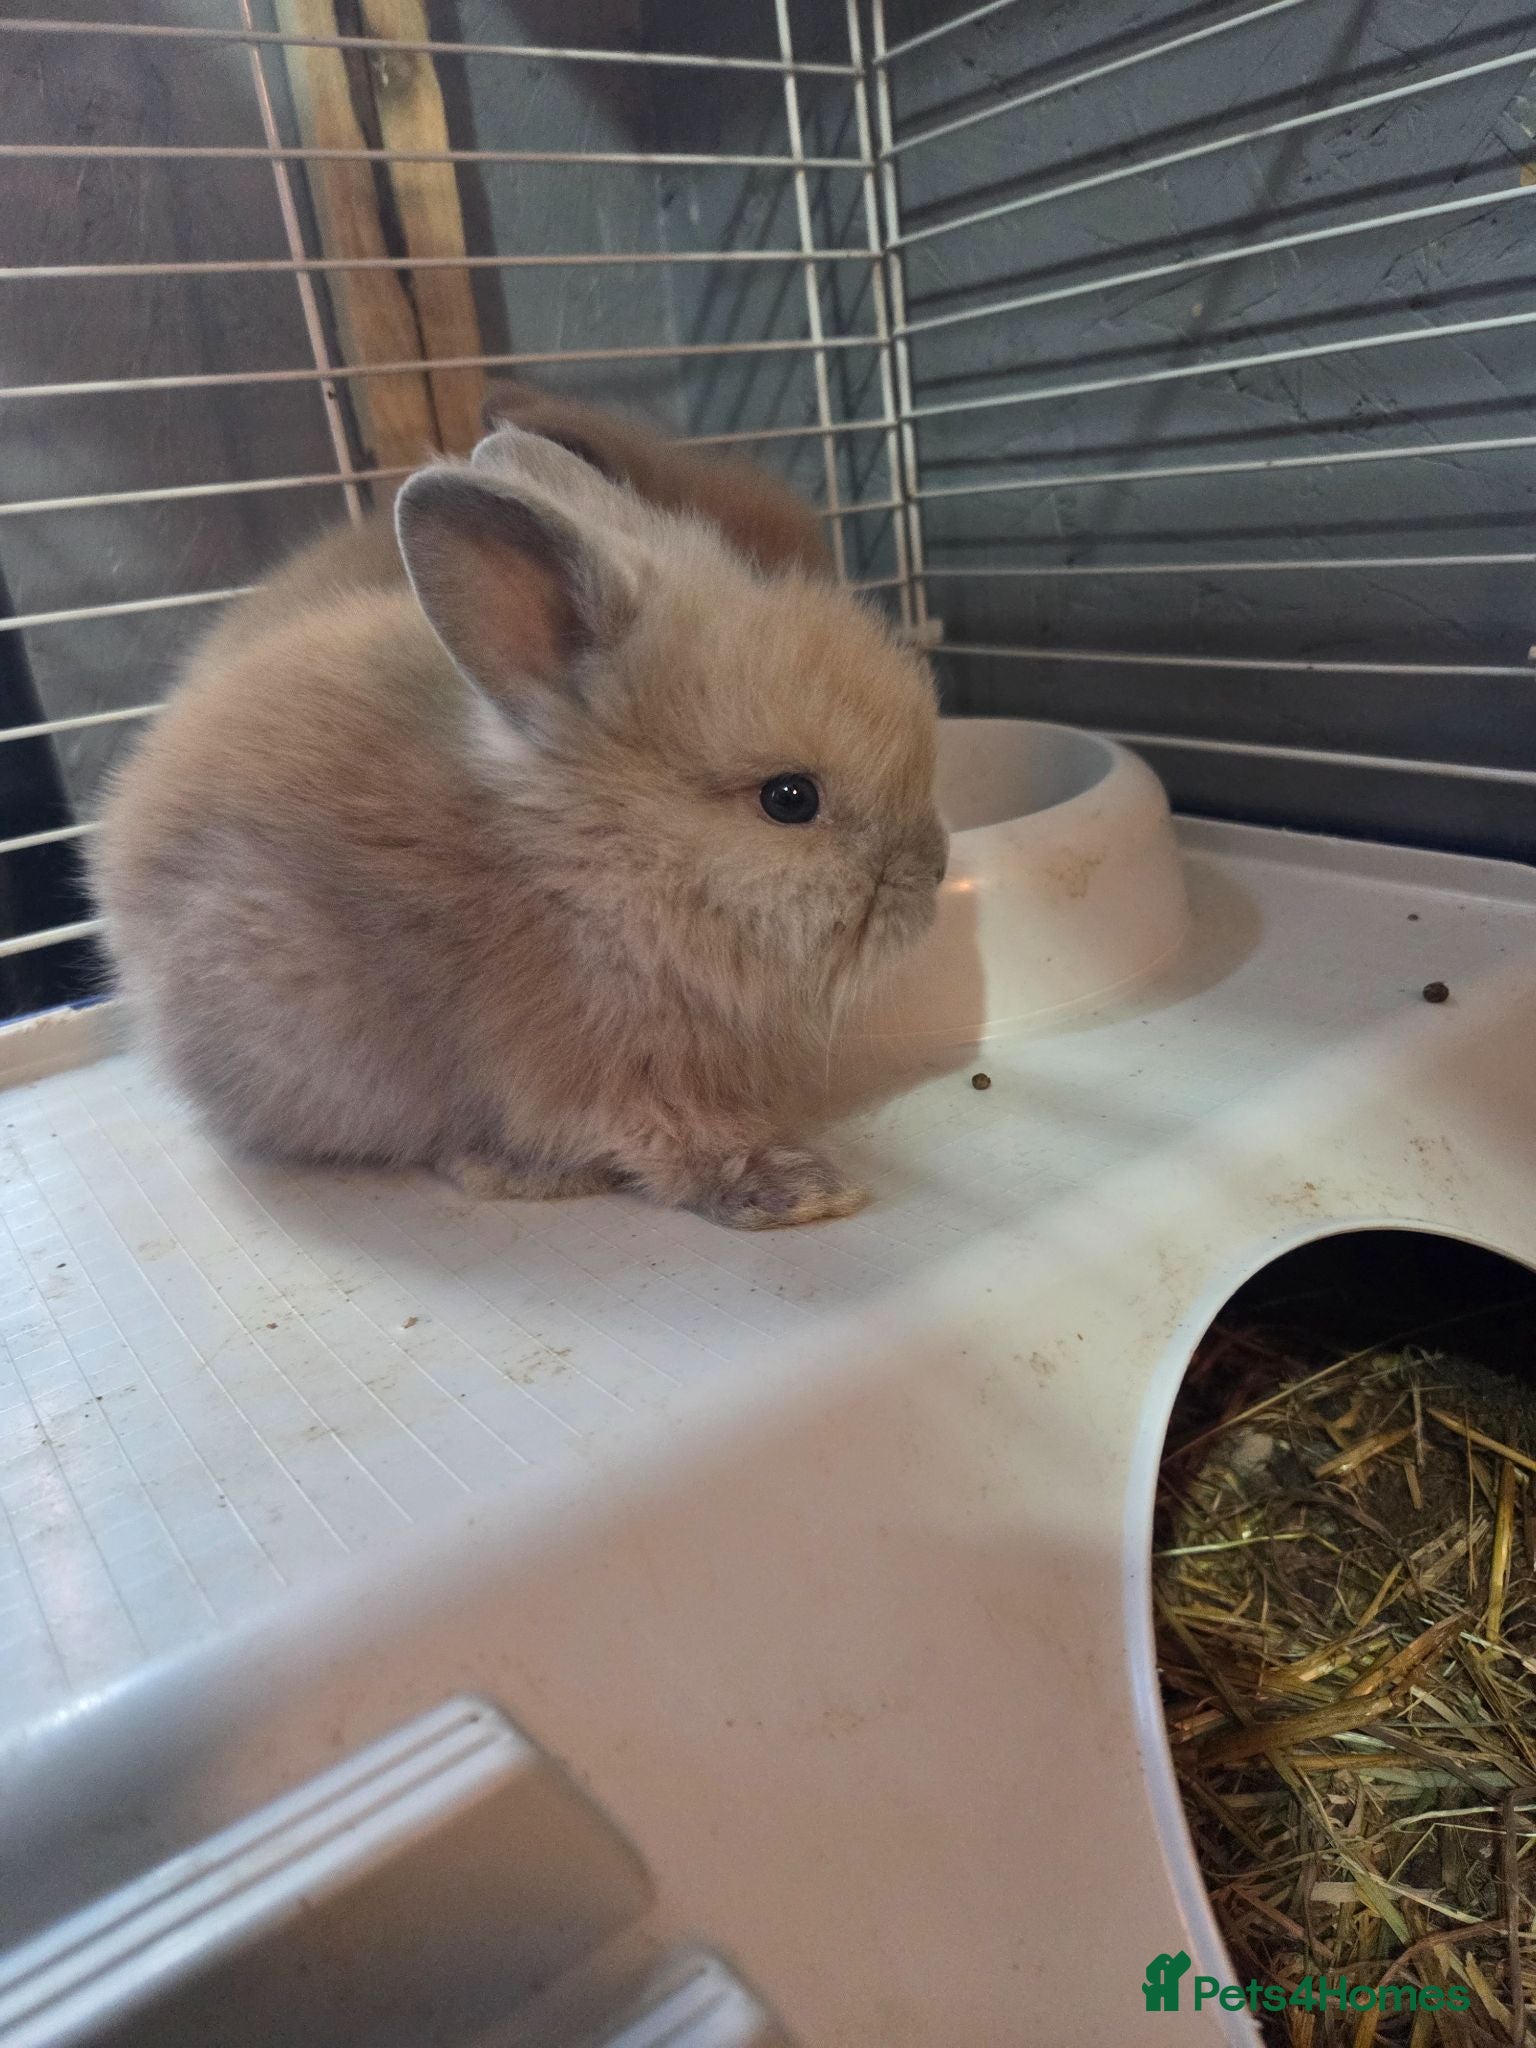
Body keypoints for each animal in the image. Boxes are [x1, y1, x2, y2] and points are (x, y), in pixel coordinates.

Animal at [92, 425, 946, 1230]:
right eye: (790, 798)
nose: (933, 870)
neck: (590, 876)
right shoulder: (610, 1082)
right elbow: (678, 1142)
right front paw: (800, 1190)